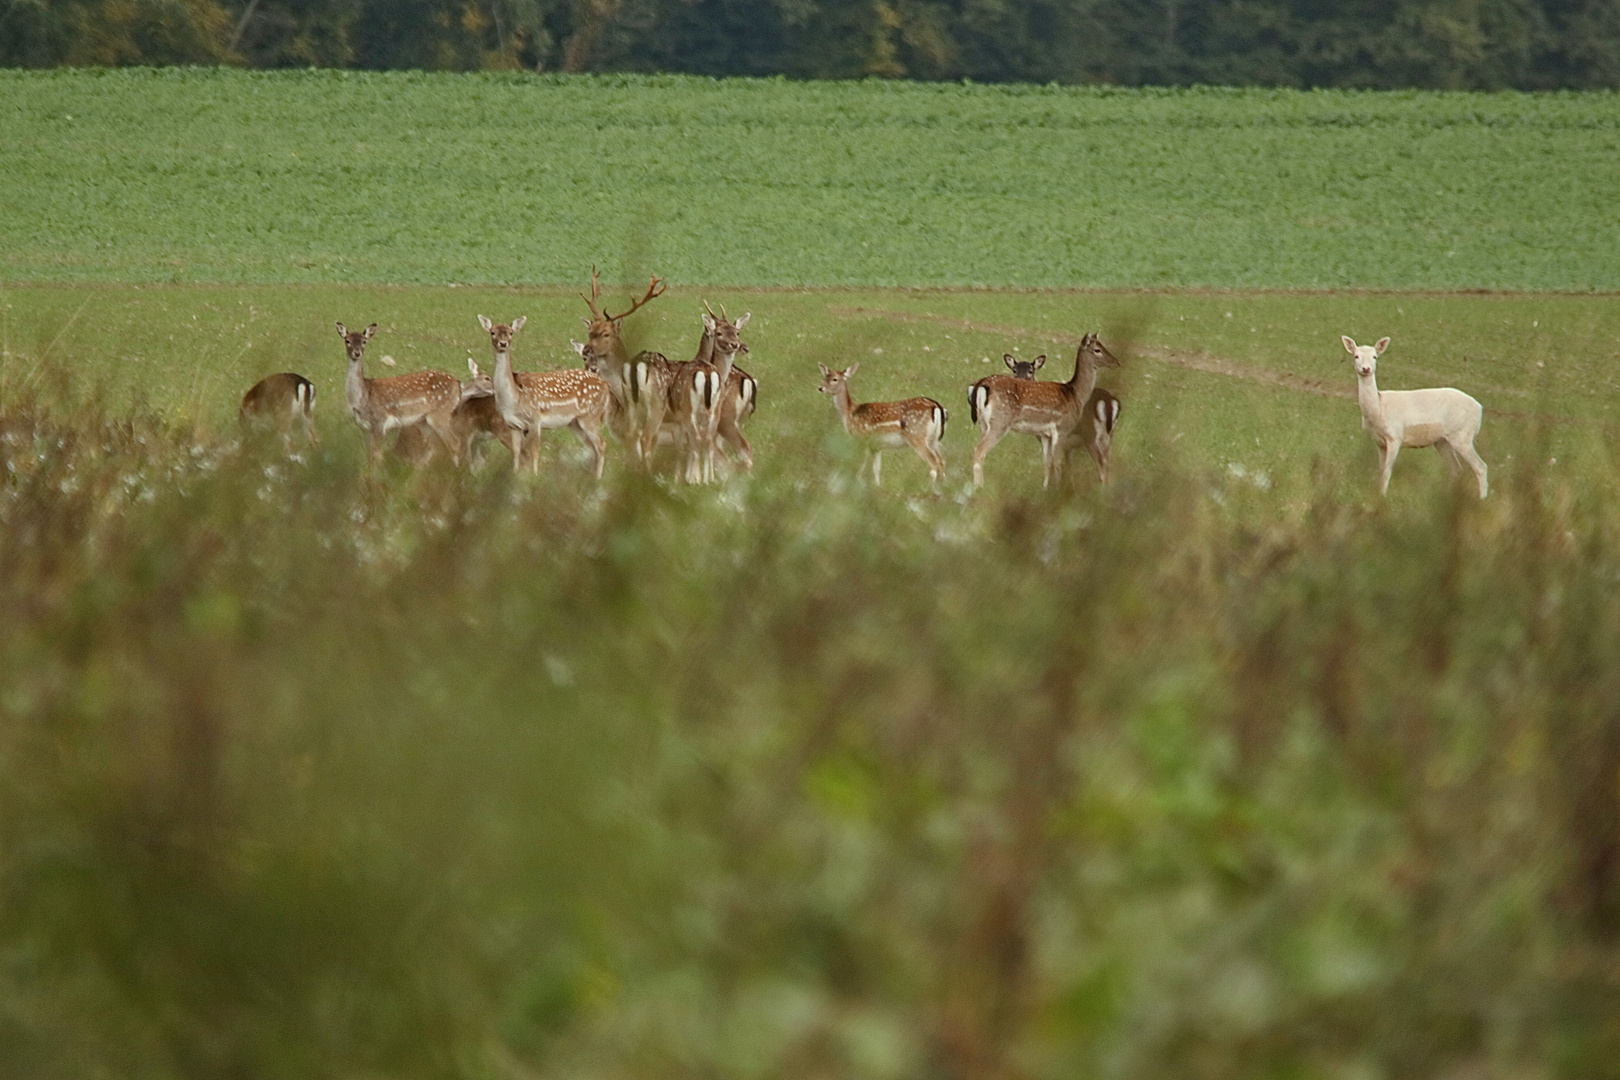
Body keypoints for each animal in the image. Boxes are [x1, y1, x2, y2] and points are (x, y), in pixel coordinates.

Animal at [335, 317, 463, 459]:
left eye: (364, 341)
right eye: (347, 340)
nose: (357, 353)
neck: (362, 398)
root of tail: (458, 384)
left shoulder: (380, 422)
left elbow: (377, 455)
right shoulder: (364, 427)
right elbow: (369, 455)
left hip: (441, 413)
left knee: (454, 443)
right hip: (423, 421)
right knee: (434, 446)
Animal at [479, 314, 612, 479]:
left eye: (511, 332)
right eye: (492, 332)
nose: (503, 343)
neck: (513, 398)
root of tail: (606, 386)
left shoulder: (535, 419)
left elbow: (534, 452)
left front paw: (534, 476)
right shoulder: (512, 425)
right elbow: (516, 453)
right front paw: (515, 475)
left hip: (590, 416)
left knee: (601, 444)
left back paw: (597, 478)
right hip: (574, 422)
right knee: (592, 447)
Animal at [810, 362, 946, 482]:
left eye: (835, 379)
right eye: (824, 377)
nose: (821, 388)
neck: (850, 413)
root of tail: (936, 406)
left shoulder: (862, 438)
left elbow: (861, 464)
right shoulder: (876, 446)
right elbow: (876, 469)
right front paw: (876, 486)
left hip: (916, 436)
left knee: (933, 462)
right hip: (933, 439)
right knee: (942, 460)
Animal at [965, 333, 1121, 488]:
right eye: (1097, 350)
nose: (1116, 361)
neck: (1075, 394)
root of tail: (981, 384)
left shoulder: (1045, 434)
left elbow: (1047, 462)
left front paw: (1045, 488)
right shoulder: (1061, 428)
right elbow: (1057, 462)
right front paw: (1057, 488)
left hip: (983, 424)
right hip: (1000, 422)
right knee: (979, 450)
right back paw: (979, 486)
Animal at [1341, 335, 1483, 501]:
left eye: (1375, 356)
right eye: (1356, 356)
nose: (1366, 369)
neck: (1378, 409)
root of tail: (1480, 409)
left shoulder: (1395, 437)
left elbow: (1387, 472)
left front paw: (1382, 497)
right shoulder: (1378, 442)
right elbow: (1381, 470)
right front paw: (1377, 494)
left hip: (1463, 435)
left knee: (1480, 467)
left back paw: (1481, 499)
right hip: (1442, 440)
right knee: (1456, 469)